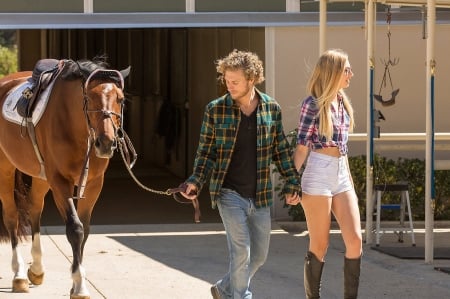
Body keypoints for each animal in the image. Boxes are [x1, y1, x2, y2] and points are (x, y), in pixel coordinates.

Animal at [0, 57, 130, 298]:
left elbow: (85, 229)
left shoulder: (94, 184)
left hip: (42, 177)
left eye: (121, 99)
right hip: (6, 168)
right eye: (88, 98)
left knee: (34, 208)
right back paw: (19, 275)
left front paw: (77, 281)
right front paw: (79, 285)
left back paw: (37, 270)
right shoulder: (60, 182)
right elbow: (75, 228)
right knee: (12, 216)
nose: (106, 143)